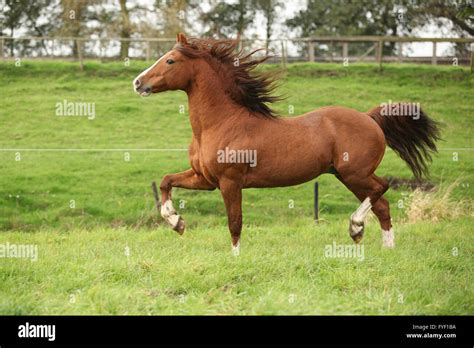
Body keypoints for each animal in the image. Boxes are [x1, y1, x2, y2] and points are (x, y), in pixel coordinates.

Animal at [133, 34, 440, 254]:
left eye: (170, 61)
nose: (137, 83)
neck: (220, 124)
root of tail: (369, 117)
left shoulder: (230, 182)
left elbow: (235, 222)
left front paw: (235, 258)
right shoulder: (205, 179)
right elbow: (166, 181)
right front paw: (176, 222)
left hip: (355, 173)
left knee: (382, 188)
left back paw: (355, 227)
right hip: (347, 176)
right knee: (383, 205)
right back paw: (386, 248)